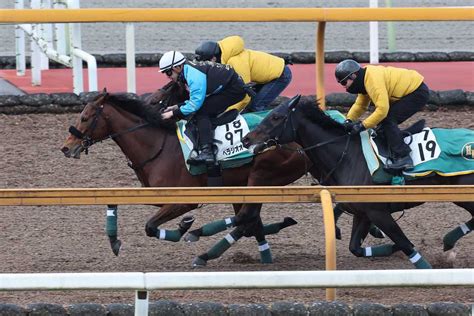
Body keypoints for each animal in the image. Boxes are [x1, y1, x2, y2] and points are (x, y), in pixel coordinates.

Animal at [61, 84, 312, 266]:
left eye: (85, 118)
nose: (66, 147)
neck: (158, 146)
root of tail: (301, 145)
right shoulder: (155, 195)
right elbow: (117, 201)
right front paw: (114, 240)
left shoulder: (185, 200)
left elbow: (150, 227)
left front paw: (184, 227)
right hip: (246, 185)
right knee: (249, 221)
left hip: (262, 176)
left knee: (247, 218)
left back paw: (202, 243)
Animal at [244, 95, 474, 270]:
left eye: (276, 117)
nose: (246, 139)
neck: (347, 156)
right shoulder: (363, 212)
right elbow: (355, 248)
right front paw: (390, 248)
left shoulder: (378, 212)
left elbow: (405, 243)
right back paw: (449, 240)